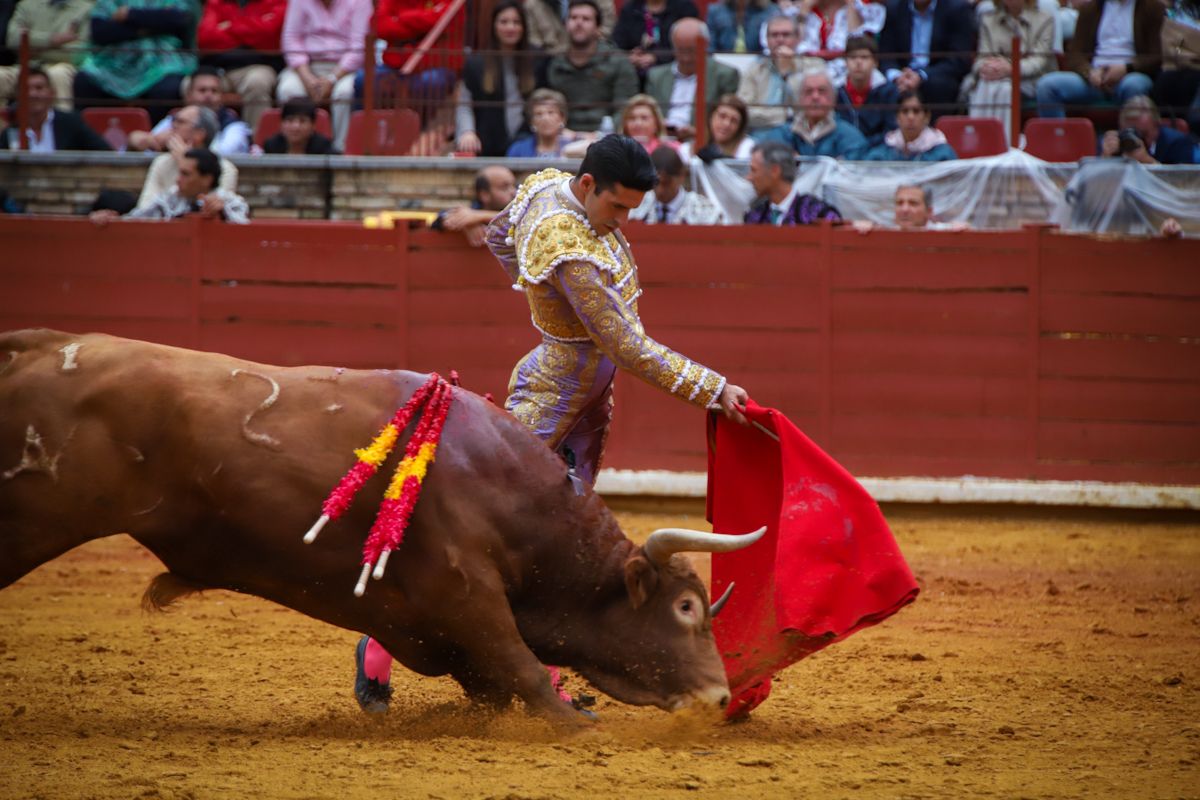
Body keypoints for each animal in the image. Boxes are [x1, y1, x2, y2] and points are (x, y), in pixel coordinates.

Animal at [0, 328, 763, 724]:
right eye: (686, 607)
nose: (722, 695)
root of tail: (40, 347)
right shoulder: (468, 591)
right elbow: (522, 668)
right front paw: (574, 719)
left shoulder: (440, 624)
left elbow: (495, 682)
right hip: (33, 516)